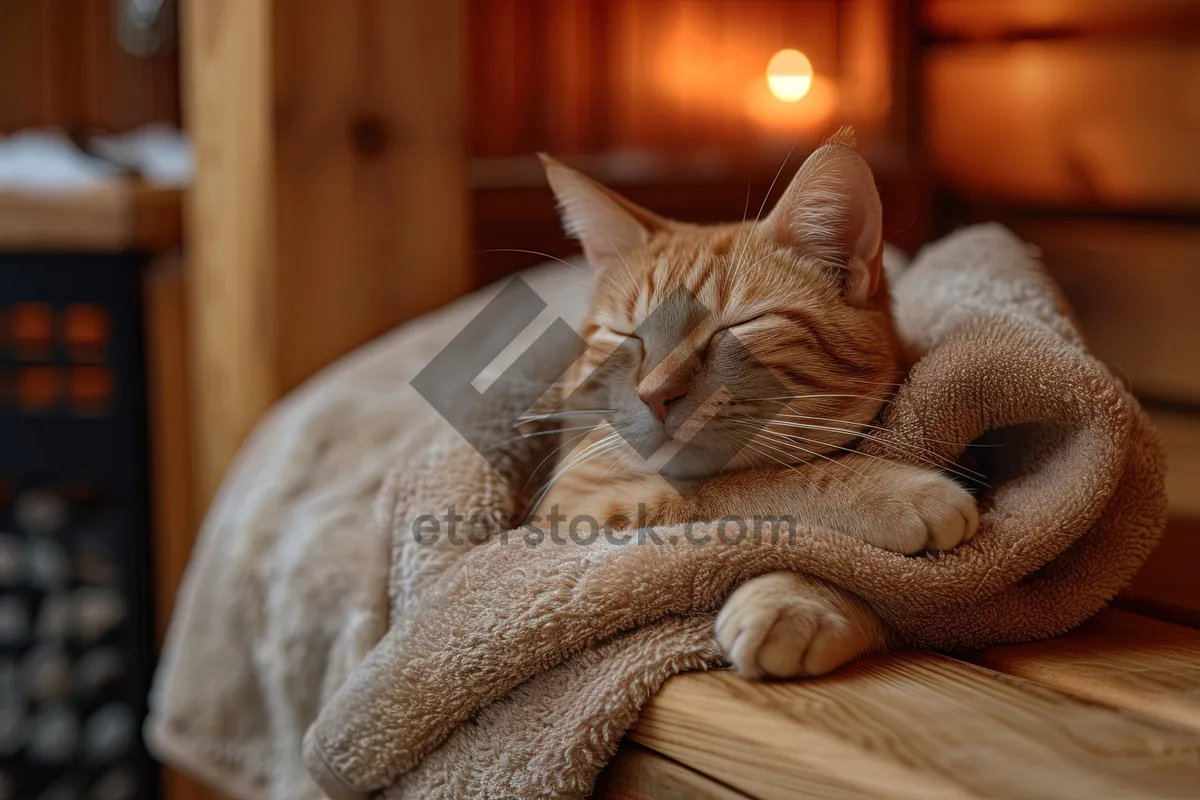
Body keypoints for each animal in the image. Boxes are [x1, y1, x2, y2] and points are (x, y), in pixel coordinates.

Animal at [532, 128, 974, 681]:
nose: (654, 394)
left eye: (738, 327)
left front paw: (796, 600)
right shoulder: (577, 503)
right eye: (626, 336)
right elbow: (752, 484)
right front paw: (890, 492)